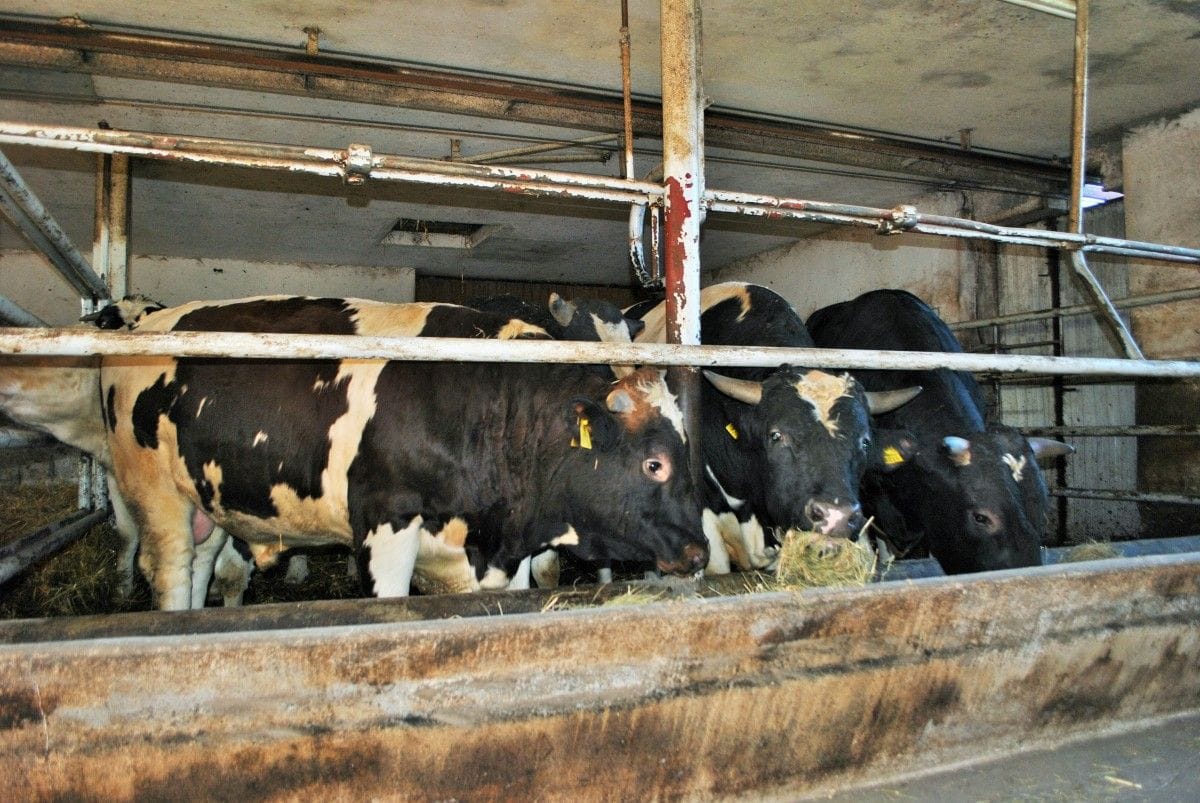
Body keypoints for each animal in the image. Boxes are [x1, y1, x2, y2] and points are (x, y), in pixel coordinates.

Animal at [100, 295, 707, 610]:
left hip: (207, 497)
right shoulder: (384, 520)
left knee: (201, 564)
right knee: (172, 569)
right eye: (654, 464)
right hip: (154, 492)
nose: (699, 553)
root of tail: (153, 320)